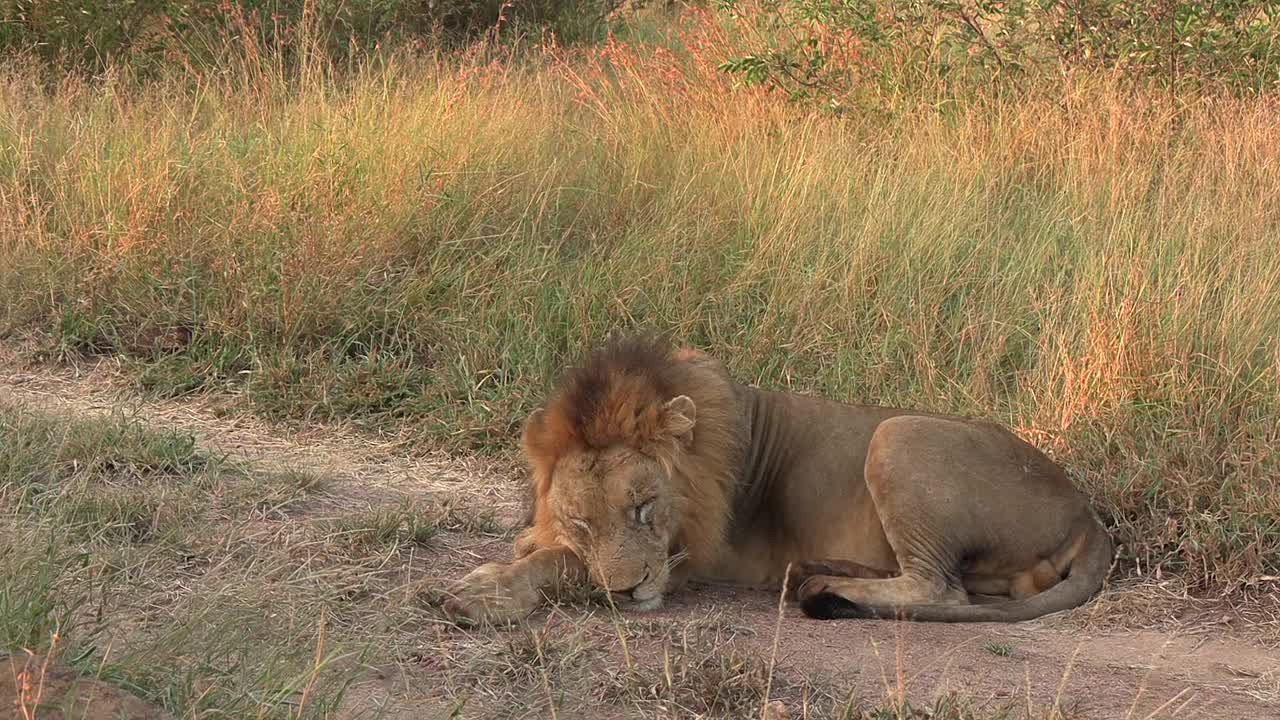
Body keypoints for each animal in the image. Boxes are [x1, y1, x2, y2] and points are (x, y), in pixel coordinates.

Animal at [442, 333, 1111, 622]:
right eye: (583, 520)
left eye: (644, 508)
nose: (628, 594)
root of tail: (1087, 514)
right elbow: (556, 548)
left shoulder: (690, 556)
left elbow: (564, 564)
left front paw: (484, 591)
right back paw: (816, 571)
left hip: (897, 435)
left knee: (941, 589)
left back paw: (822, 587)